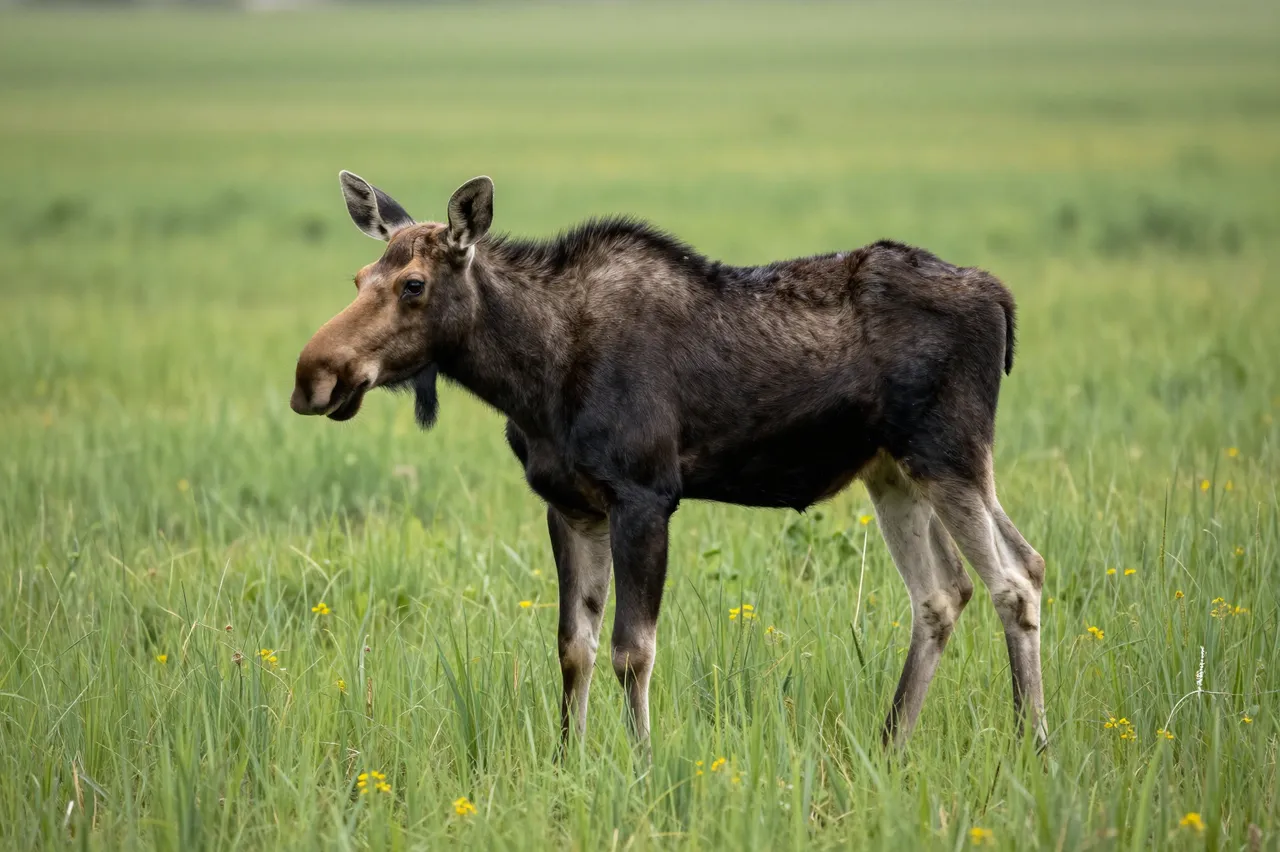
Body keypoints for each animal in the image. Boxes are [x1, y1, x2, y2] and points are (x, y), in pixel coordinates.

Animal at [290, 171, 1048, 750]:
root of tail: (1004, 300)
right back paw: (892, 744)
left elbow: (633, 651)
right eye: (360, 276)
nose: (313, 376)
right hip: (893, 472)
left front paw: (642, 764)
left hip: (950, 453)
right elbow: (574, 645)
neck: (531, 377)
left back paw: (1029, 745)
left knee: (1017, 577)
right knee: (945, 592)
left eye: (414, 284)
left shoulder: (645, 495)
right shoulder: (571, 505)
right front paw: (568, 759)